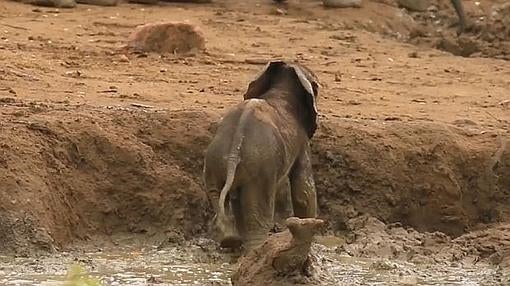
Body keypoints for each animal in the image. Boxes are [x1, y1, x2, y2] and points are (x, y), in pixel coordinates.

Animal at [202, 59, 318, 250]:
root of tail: (233, 152)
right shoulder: (301, 140)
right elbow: (304, 189)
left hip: (214, 160)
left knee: (218, 196)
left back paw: (230, 241)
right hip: (260, 169)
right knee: (258, 215)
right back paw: (256, 249)